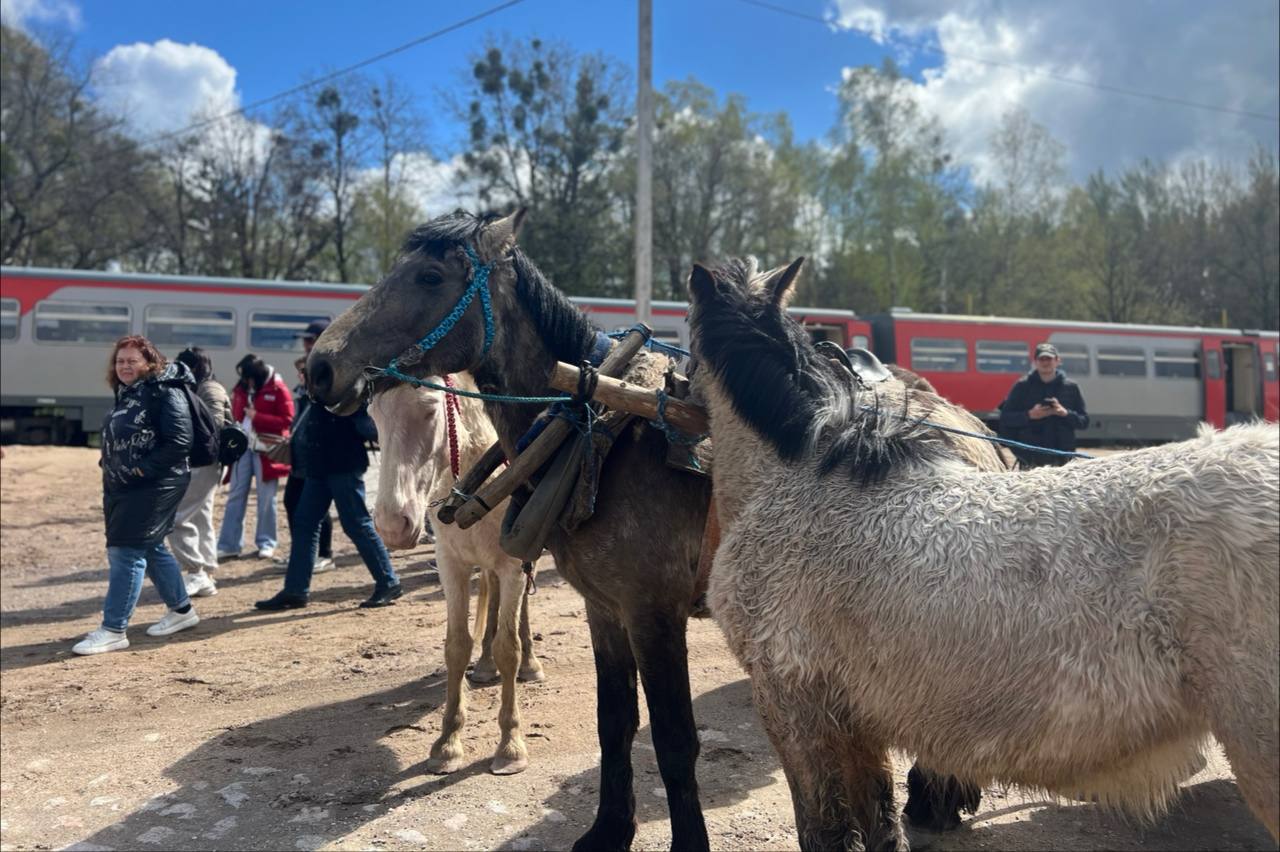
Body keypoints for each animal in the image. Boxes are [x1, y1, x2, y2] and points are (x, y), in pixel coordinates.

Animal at [373, 376, 545, 772]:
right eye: (374, 414)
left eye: (430, 409)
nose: (392, 527)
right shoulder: (451, 563)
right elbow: (456, 646)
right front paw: (447, 744)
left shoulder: (512, 562)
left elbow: (508, 648)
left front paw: (510, 746)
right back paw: (483, 666)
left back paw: (530, 664)